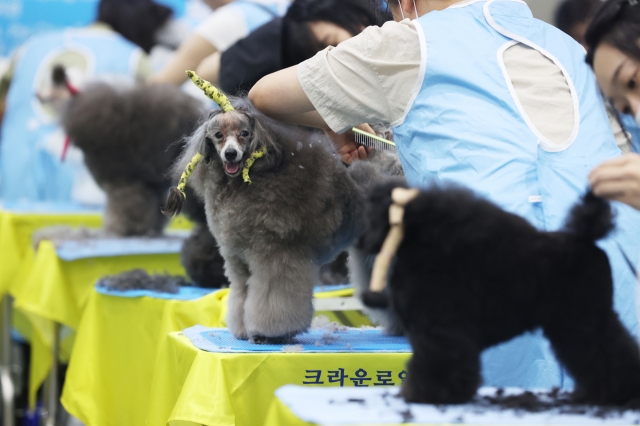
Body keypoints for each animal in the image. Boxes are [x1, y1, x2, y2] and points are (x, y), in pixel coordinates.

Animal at [168, 100, 402, 342]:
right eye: (218, 135)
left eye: (244, 133)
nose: (230, 154)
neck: (244, 184)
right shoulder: (237, 260)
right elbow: (241, 295)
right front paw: (242, 330)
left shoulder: (277, 254)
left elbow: (273, 298)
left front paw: (269, 333)